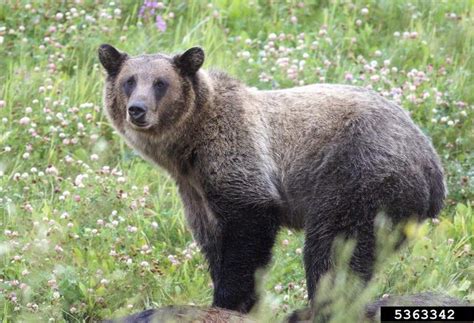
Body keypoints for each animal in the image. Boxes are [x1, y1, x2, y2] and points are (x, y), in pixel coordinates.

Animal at [98, 45, 446, 314]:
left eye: (160, 83)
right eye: (129, 81)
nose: (137, 110)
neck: (187, 150)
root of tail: (434, 170)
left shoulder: (237, 155)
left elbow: (248, 229)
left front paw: (228, 300)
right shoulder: (194, 189)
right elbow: (211, 239)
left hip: (359, 173)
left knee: (335, 246)